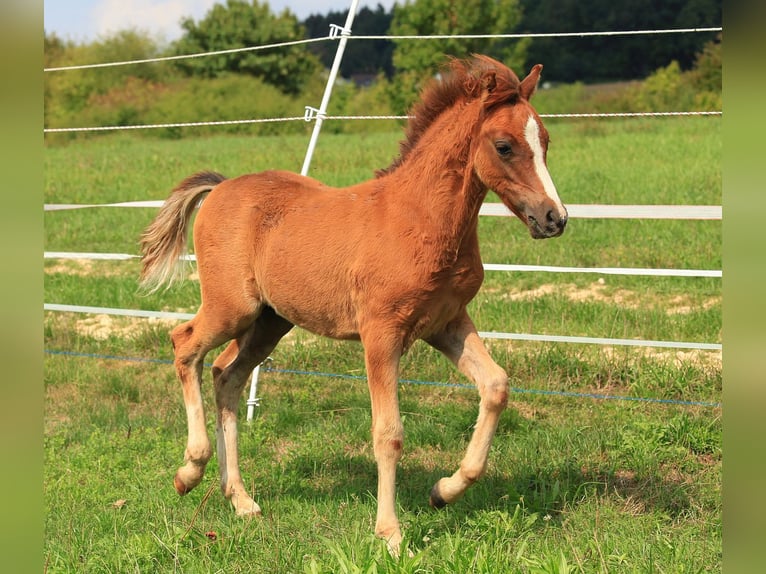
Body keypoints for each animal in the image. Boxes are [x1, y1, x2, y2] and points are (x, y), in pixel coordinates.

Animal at [139, 55, 567, 554]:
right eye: (504, 146)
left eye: (545, 140)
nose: (554, 218)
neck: (420, 219)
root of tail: (222, 188)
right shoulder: (381, 333)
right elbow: (389, 433)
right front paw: (391, 535)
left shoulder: (447, 322)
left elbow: (496, 385)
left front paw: (443, 491)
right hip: (233, 307)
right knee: (184, 344)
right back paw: (189, 472)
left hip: (270, 321)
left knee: (227, 374)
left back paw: (240, 499)